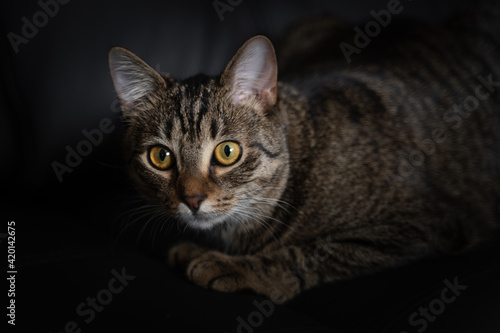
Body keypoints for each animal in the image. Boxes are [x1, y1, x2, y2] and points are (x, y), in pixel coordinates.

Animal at [109, 4, 500, 300]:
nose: (191, 199)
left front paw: (228, 264)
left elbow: (313, 252)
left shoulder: (425, 222)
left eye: (227, 152)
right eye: (161, 157)